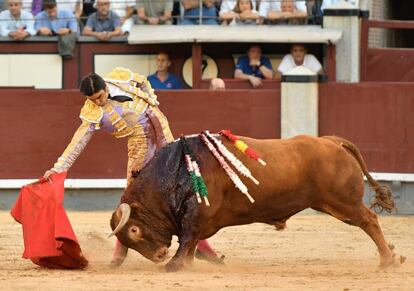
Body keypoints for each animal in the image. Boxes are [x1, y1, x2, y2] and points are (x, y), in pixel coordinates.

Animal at [109, 136, 398, 272]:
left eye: (134, 230)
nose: (159, 255)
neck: (176, 170)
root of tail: (332, 141)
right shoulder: (199, 221)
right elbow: (190, 243)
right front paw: (187, 265)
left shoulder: (197, 216)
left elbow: (187, 238)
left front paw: (174, 266)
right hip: (334, 205)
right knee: (366, 222)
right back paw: (394, 255)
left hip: (343, 201)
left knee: (369, 221)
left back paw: (387, 260)